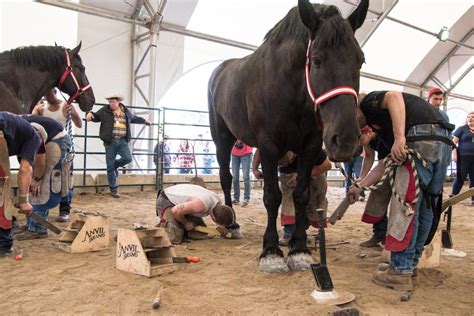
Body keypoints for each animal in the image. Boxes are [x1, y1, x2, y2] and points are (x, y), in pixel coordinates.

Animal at [208, 0, 370, 272]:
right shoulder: (269, 147)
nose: (346, 141)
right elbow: (272, 197)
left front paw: (299, 248)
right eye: (317, 60)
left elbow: (301, 196)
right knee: (226, 178)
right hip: (222, 140)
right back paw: (232, 224)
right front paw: (271, 250)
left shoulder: (310, 147)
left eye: (360, 61)